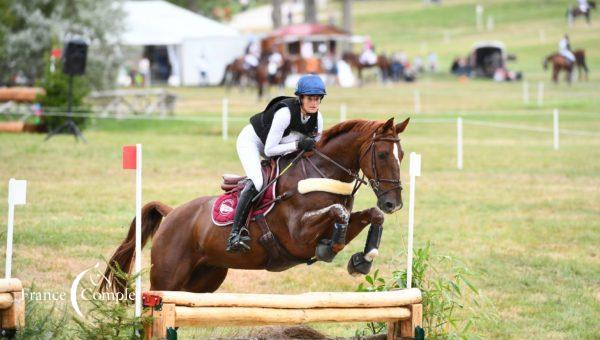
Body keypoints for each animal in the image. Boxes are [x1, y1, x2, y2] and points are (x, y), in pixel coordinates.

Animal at [102, 118, 408, 294]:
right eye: (382, 154)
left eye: (402, 154)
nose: (393, 203)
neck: (321, 172)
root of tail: (173, 212)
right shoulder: (298, 236)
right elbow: (338, 213)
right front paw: (331, 248)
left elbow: (372, 215)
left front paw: (362, 260)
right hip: (166, 279)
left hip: (203, 280)